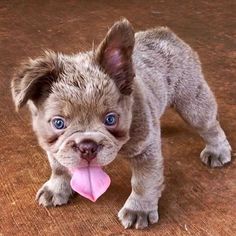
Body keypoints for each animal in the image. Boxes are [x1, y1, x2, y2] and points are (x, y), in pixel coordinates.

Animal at [11, 19, 230, 230]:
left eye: (111, 119)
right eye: (58, 123)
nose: (87, 146)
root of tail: (166, 33)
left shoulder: (145, 150)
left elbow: (143, 181)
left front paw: (138, 210)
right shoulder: (53, 147)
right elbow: (59, 167)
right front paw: (56, 188)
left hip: (193, 102)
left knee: (209, 125)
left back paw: (218, 151)